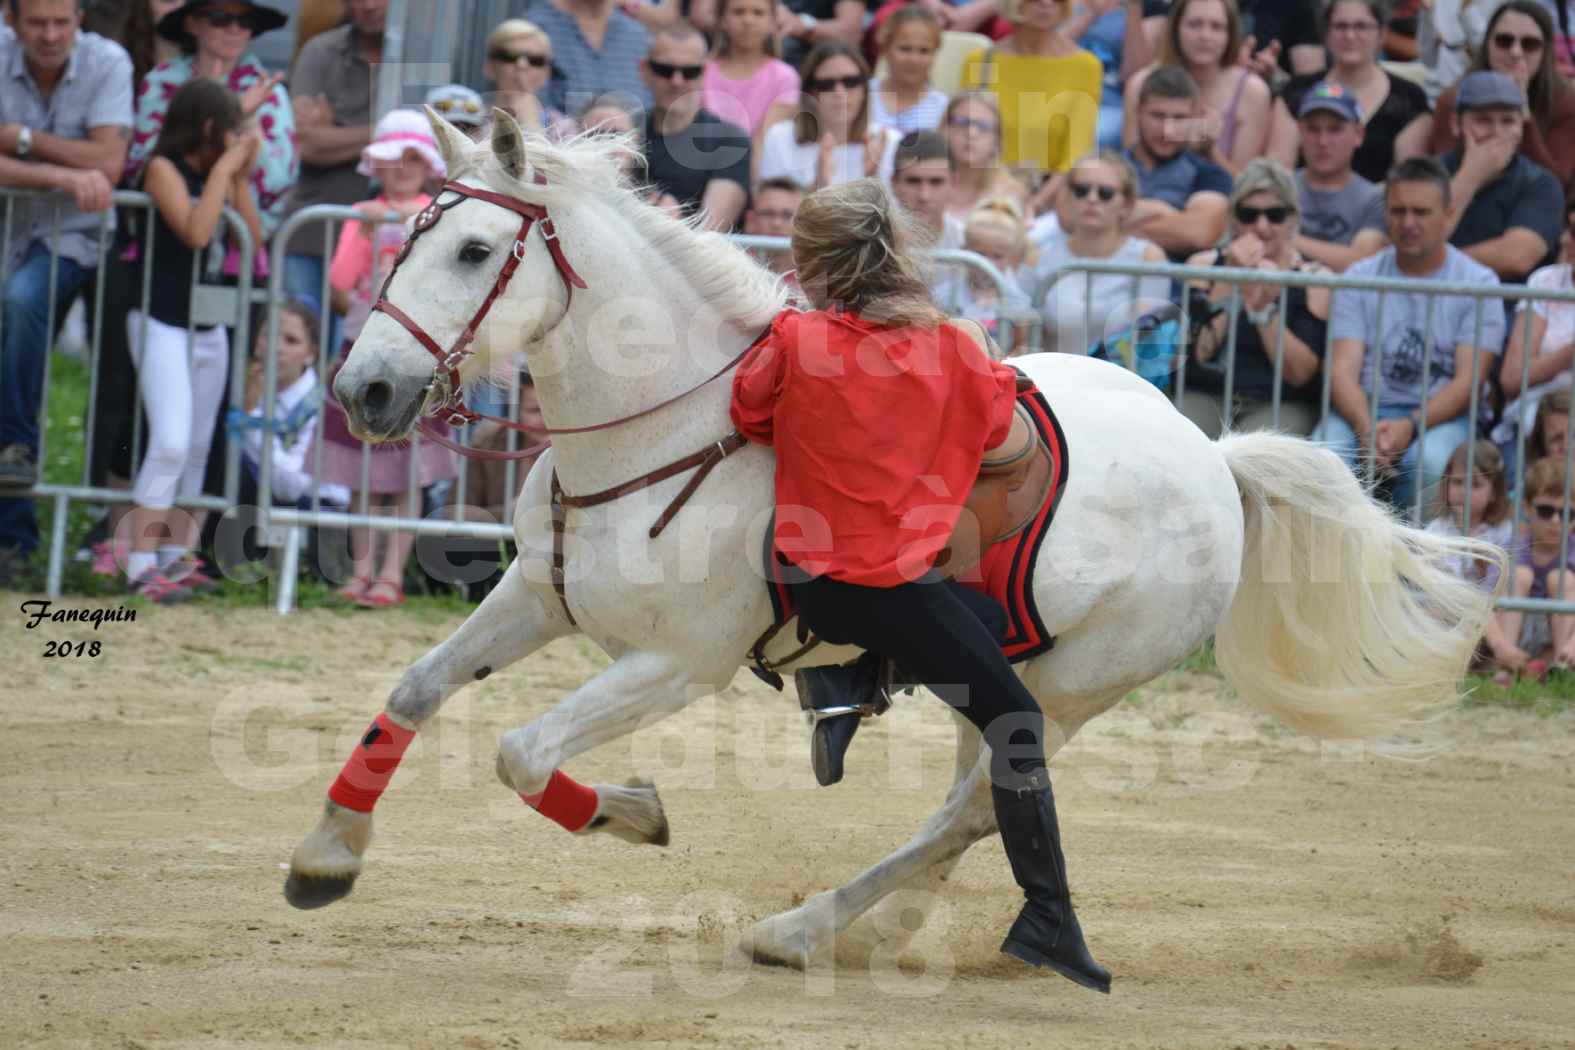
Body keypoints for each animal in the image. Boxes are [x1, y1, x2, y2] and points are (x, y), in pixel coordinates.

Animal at [286, 110, 1499, 976]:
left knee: (974, 809)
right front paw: (325, 855)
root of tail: (1213, 457)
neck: (670, 427)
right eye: (407, 237)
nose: (365, 391)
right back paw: (873, 931)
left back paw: (814, 929)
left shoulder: (677, 664)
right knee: (975, 811)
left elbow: (524, 753)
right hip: (993, 675)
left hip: (1070, 688)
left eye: (474, 248)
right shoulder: (536, 599)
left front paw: (629, 812)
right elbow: (415, 691)